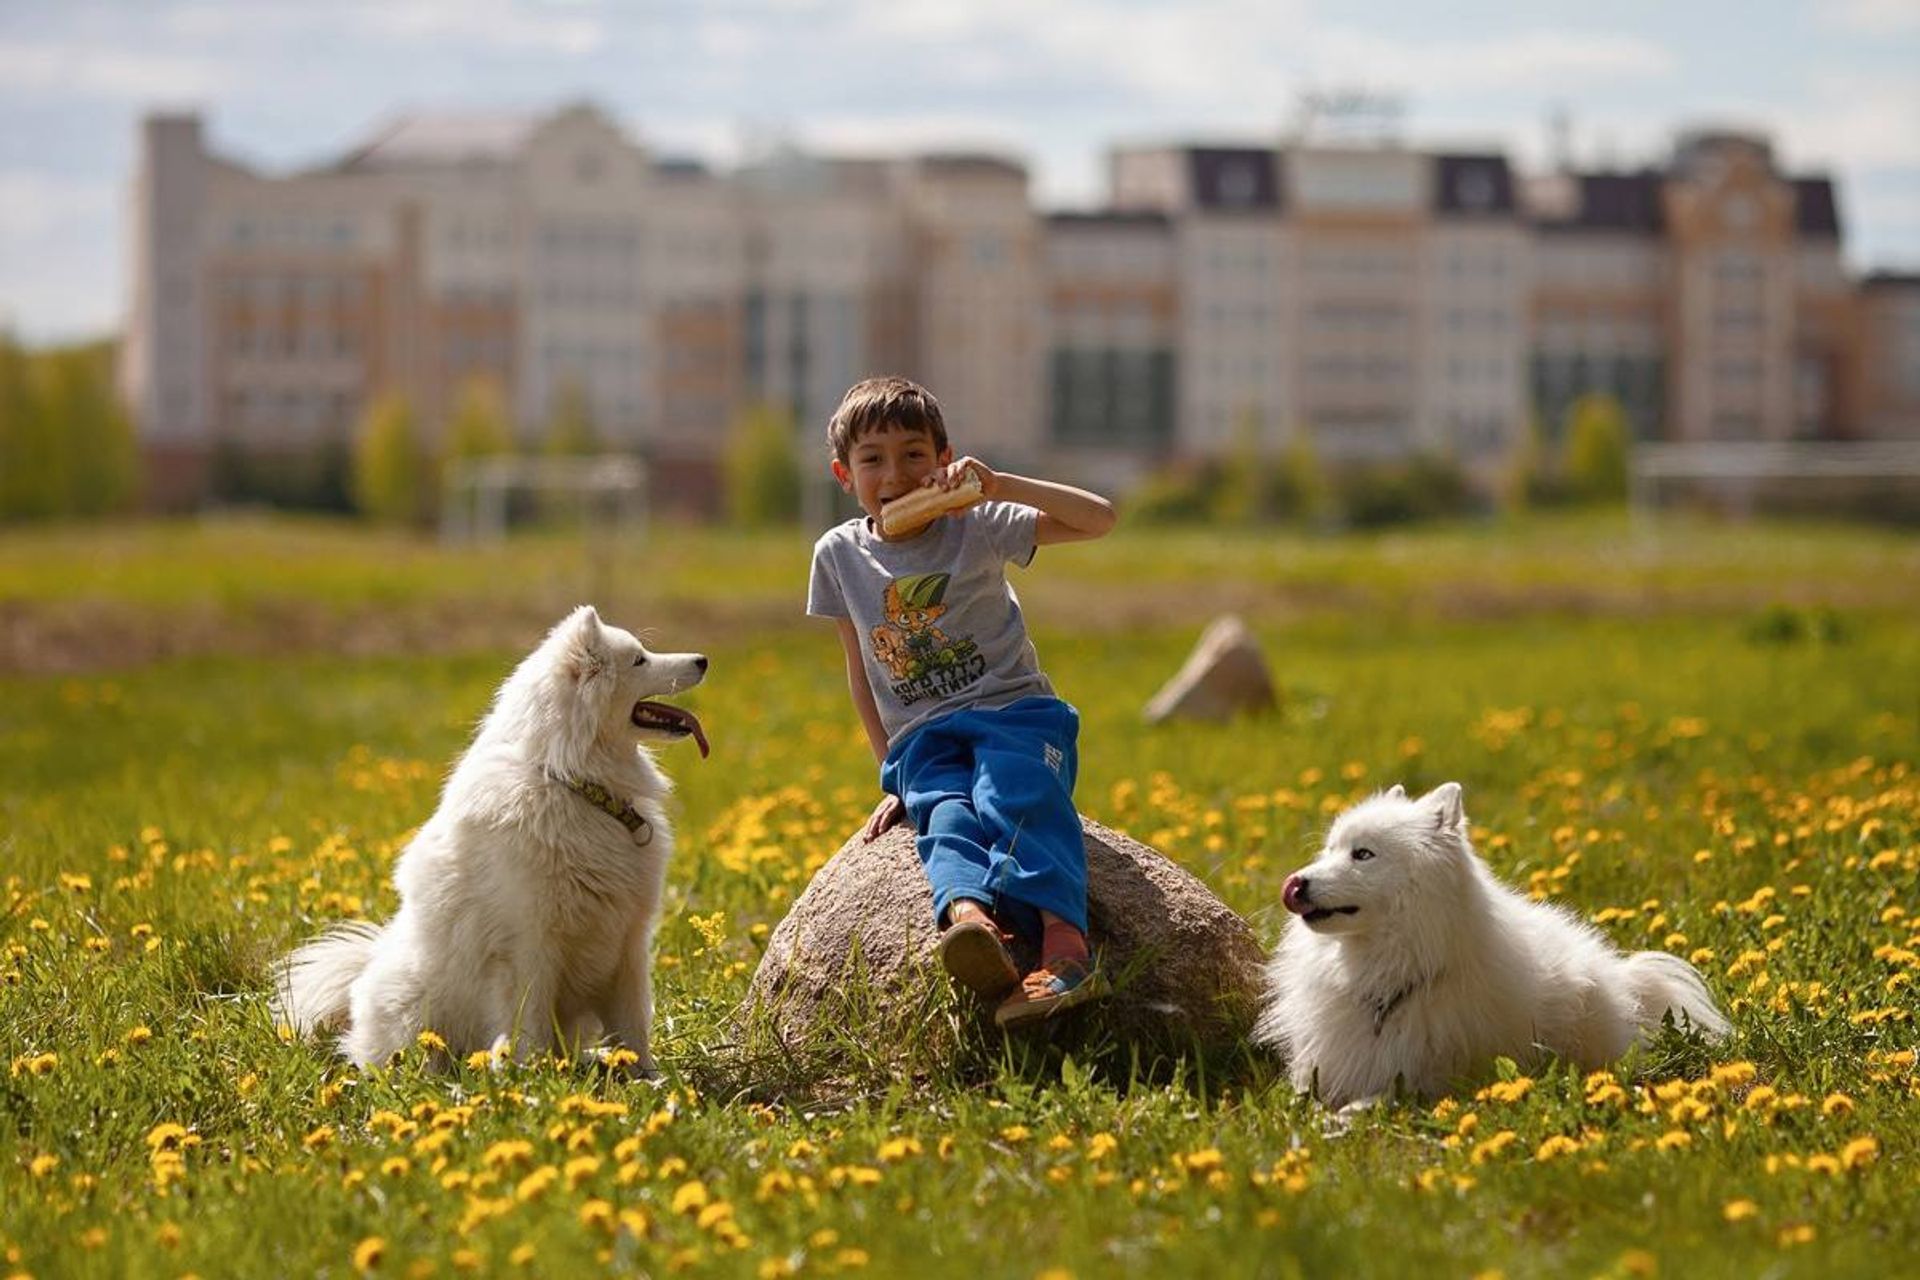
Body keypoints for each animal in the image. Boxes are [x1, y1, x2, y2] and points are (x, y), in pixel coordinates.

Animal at [274, 606, 710, 1074]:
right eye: (639, 660)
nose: (703, 659)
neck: (576, 784)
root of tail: (366, 969)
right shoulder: (528, 943)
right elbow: (529, 1020)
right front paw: (531, 1075)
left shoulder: (628, 939)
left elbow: (633, 1020)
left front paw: (647, 1075)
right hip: (416, 1004)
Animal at [1251, 786, 1735, 1105]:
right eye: (1329, 850)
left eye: (1363, 854)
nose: (1296, 882)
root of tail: (1625, 978)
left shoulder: (1425, 1078)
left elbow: (1372, 1099)